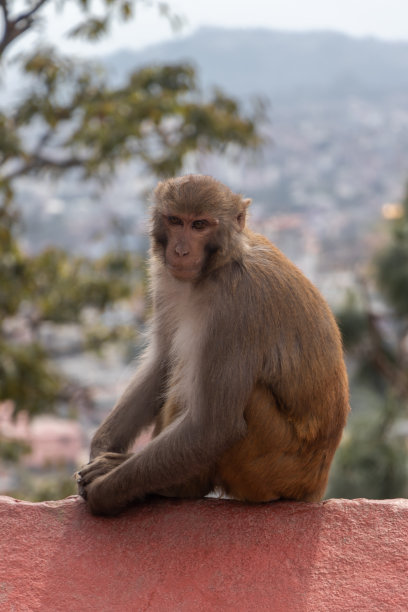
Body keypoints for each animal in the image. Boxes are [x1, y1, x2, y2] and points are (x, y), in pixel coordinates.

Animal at [77, 173, 350, 516]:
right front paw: (101, 446)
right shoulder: (164, 278)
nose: (180, 251)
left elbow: (214, 426)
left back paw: (179, 486)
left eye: (200, 225)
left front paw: (104, 491)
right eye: (175, 220)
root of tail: (315, 486)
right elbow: (163, 360)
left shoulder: (236, 306)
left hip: (274, 466)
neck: (216, 267)